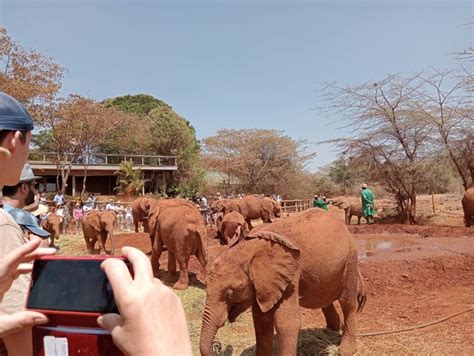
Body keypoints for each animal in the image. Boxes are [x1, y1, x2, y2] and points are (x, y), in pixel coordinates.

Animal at [200, 209, 366, 356]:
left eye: (230, 293)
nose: (217, 345)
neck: (248, 249)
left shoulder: (290, 274)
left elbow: (286, 323)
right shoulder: (263, 283)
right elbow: (261, 319)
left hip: (350, 259)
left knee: (348, 303)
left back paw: (345, 350)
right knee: (323, 297)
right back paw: (331, 329)